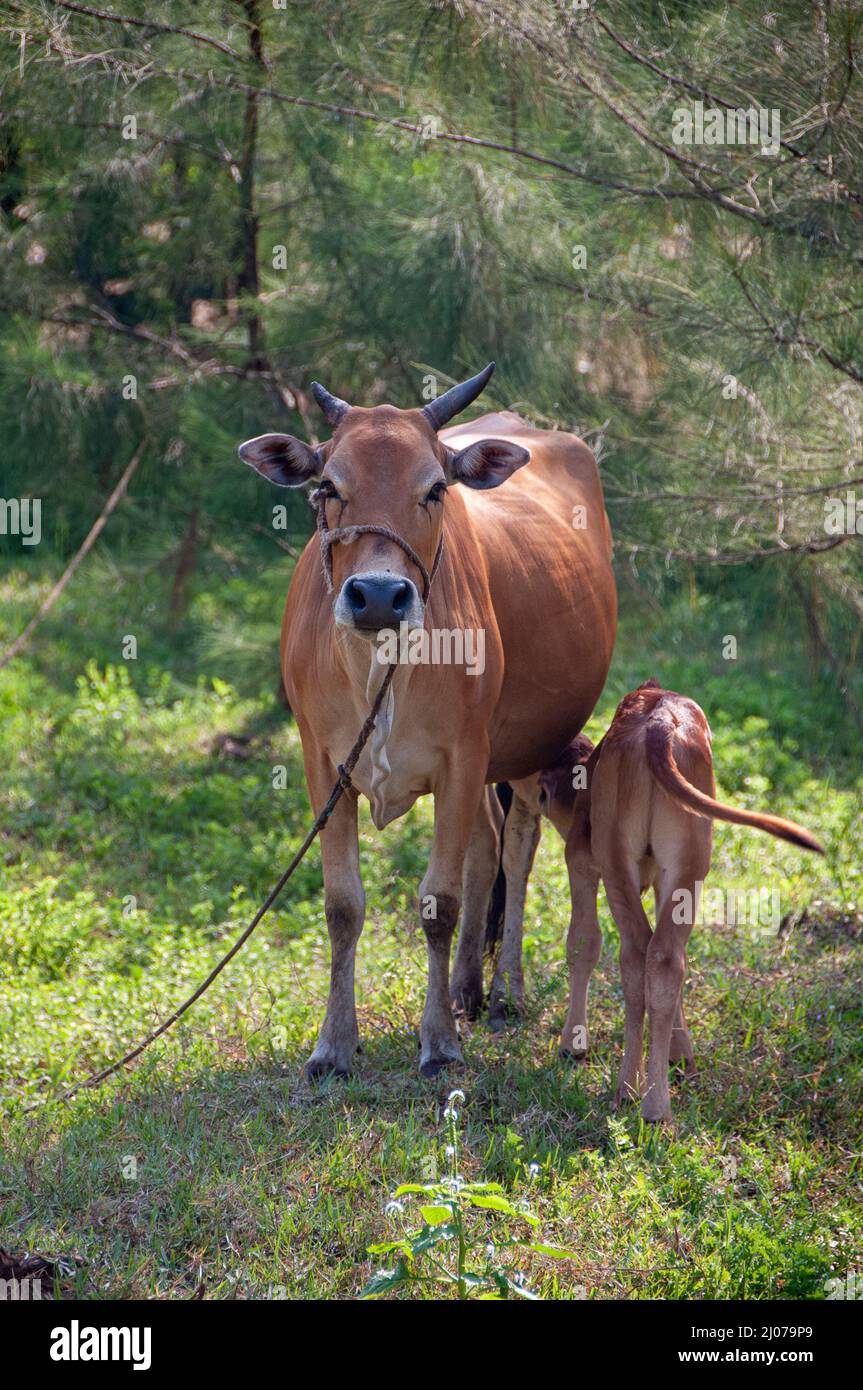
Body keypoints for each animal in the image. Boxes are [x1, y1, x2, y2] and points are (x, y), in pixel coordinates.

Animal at [239, 364, 617, 1078]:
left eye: (435, 488)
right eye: (328, 486)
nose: (379, 595)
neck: (380, 668)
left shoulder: (463, 757)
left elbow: (439, 902)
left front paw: (439, 1042)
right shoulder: (321, 763)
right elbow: (342, 905)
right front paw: (334, 1045)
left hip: (527, 748)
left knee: (516, 844)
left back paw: (504, 993)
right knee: (486, 845)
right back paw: (468, 986)